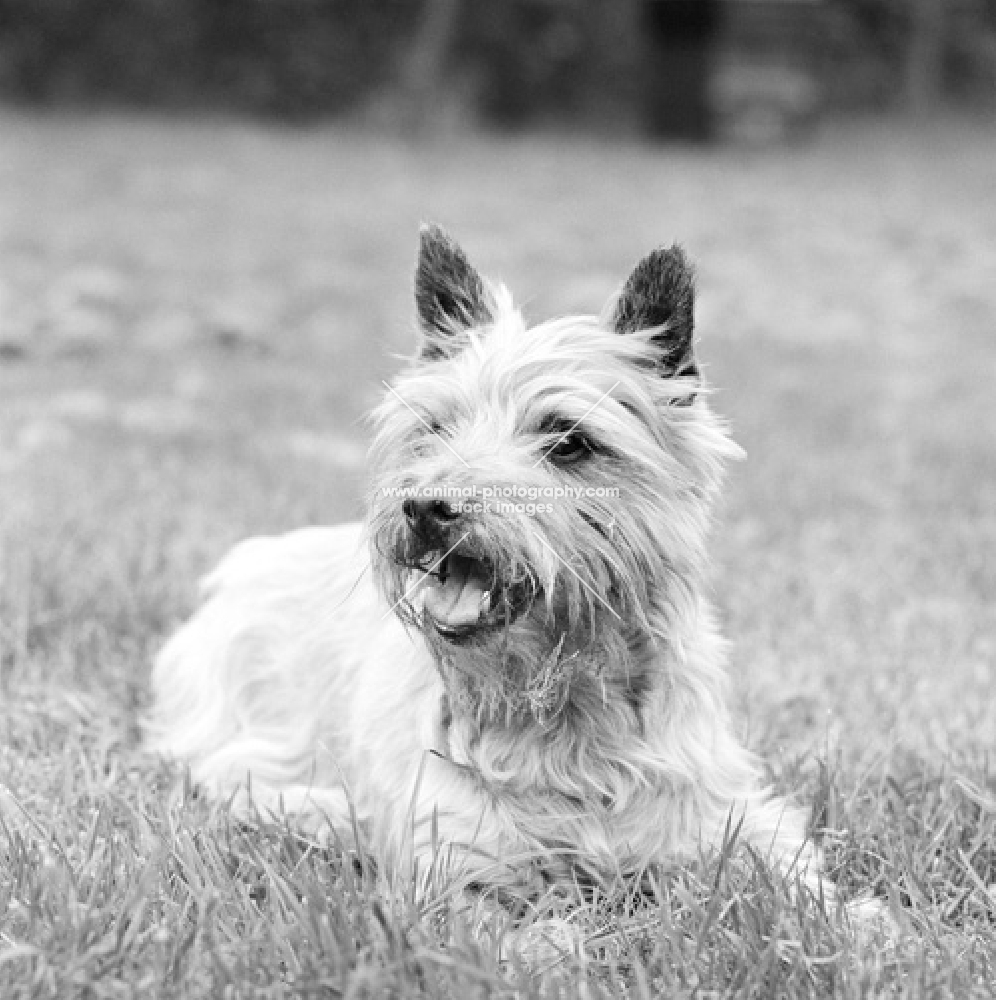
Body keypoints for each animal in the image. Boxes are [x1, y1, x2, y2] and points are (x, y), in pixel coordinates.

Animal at [146, 223, 864, 924]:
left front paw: (858, 924)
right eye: (434, 427)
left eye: (569, 441)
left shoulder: (733, 813)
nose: (426, 507)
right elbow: (527, 935)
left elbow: (794, 871)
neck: (560, 701)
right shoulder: (451, 872)